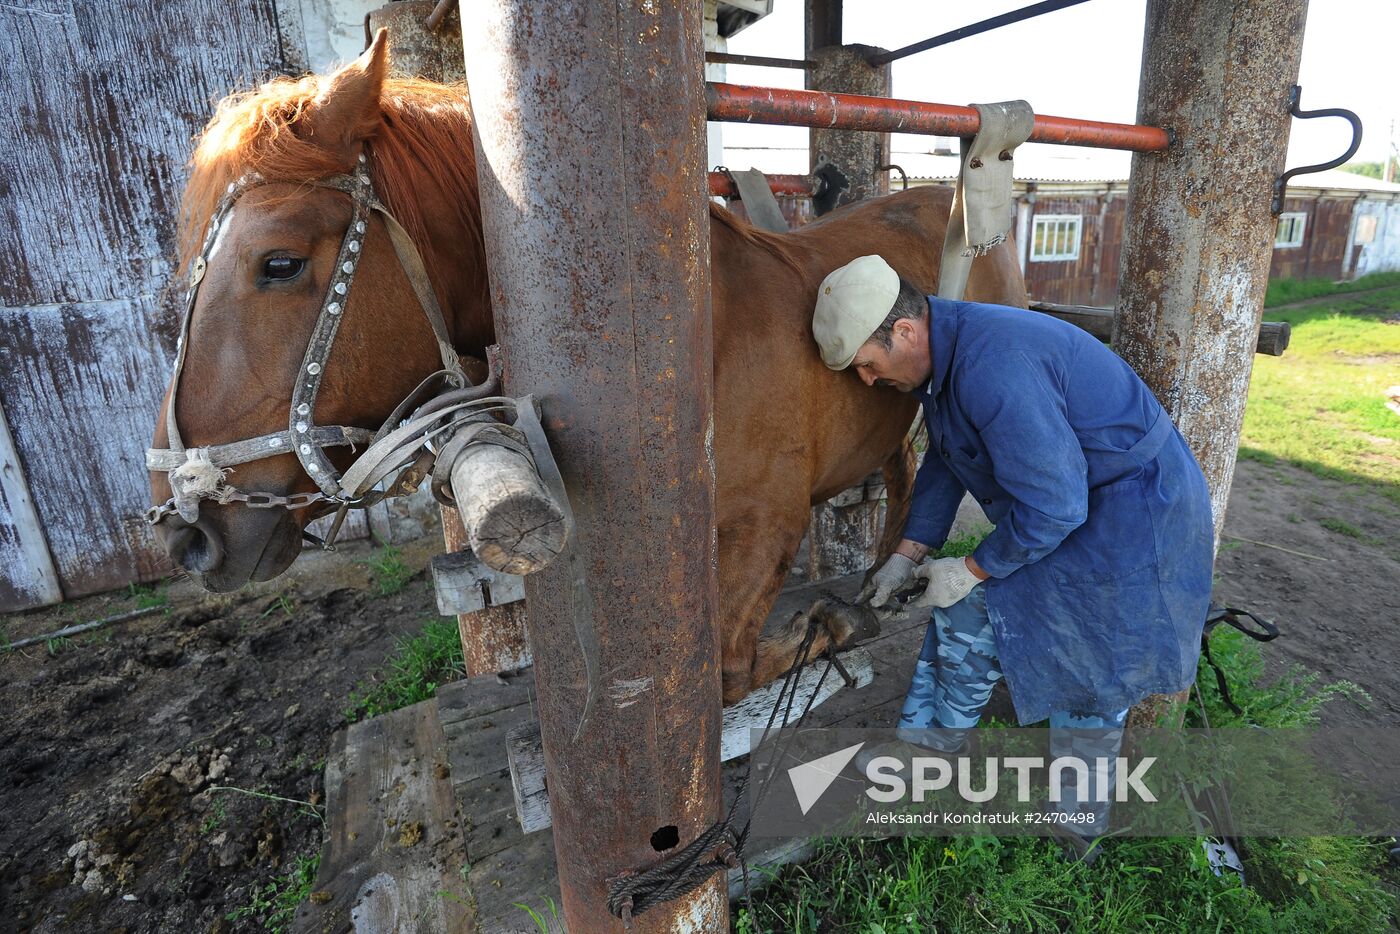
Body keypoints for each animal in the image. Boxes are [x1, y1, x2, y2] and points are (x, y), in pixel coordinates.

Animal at [150, 38, 1030, 708]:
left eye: (279, 262)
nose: (187, 530)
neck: (699, 353)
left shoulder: (765, 531)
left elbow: (727, 670)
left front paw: (839, 624)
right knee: (905, 472)